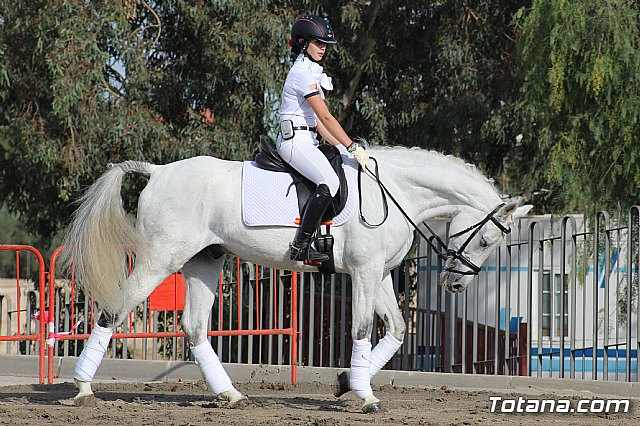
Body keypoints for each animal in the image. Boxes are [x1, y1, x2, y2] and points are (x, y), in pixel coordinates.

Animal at [60, 145, 532, 413]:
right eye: (487, 239)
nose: (456, 284)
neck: (396, 190)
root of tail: (159, 171)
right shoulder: (363, 273)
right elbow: (363, 328)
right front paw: (364, 395)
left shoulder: (378, 274)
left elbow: (396, 330)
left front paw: (347, 382)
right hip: (161, 258)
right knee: (113, 311)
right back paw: (82, 388)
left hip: (203, 262)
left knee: (194, 327)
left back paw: (230, 395)